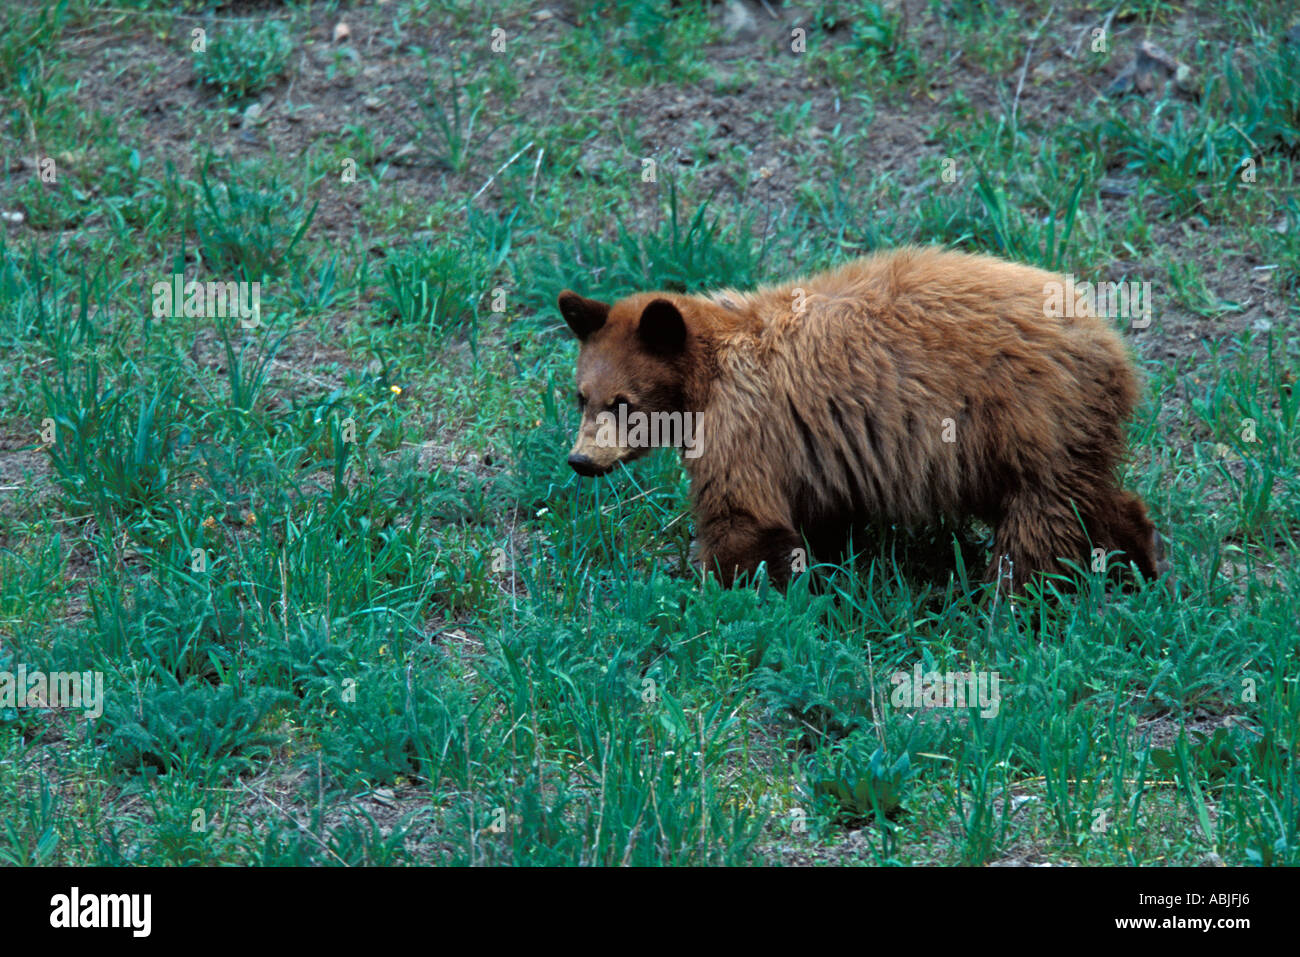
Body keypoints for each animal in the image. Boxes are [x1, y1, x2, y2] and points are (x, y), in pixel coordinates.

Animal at [559, 247, 1170, 590]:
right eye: (580, 396)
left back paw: (1013, 600)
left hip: (1024, 417)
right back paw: (1141, 563)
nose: (581, 460)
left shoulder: (745, 427)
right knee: (1091, 497)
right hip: (1049, 437)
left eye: (623, 403)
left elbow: (743, 517)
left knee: (1041, 521)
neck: (706, 374)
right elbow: (822, 514)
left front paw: (726, 587)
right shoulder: (818, 451)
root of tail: (1108, 343)